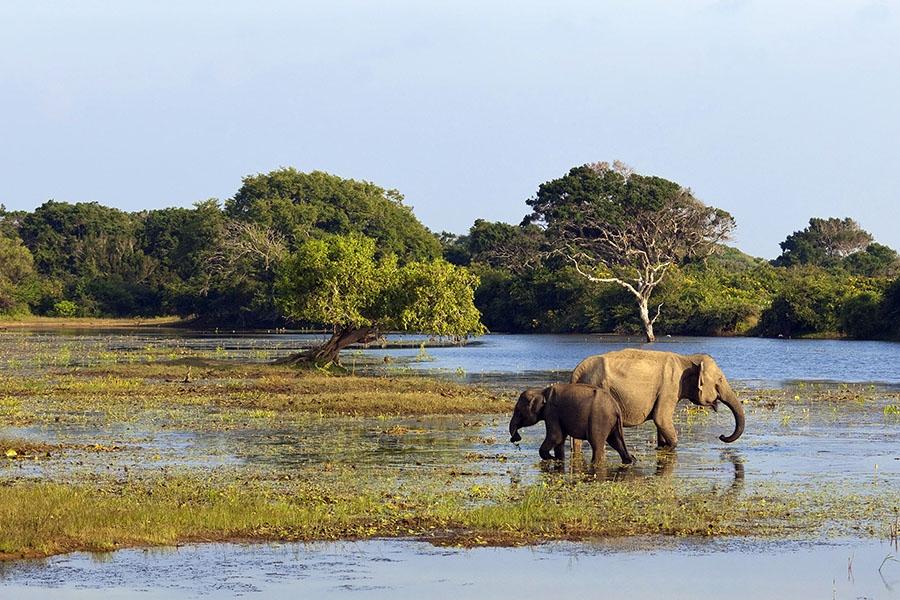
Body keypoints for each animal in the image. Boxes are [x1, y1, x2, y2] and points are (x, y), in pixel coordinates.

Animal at [569, 349, 744, 449]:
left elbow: (660, 422)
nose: (721, 436)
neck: (686, 358)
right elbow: (661, 418)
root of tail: (577, 371)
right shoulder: (669, 387)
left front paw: (661, 446)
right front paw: (670, 446)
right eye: (720, 380)